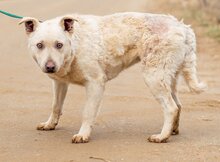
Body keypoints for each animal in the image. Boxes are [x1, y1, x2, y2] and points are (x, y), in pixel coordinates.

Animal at [19, 12, 206, 143]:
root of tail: (182, 27)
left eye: (59, 45)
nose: (50, 67)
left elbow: (87, 113)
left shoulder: (95, 84)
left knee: (171, 108)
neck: (75, 45)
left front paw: (83, 134)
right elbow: (55, 107)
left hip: (154, 76)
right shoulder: (59, 83)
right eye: (39, 45)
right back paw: (172, 130)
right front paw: (50, 124)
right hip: (168, 77)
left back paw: (162, 136)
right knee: (178, 105)